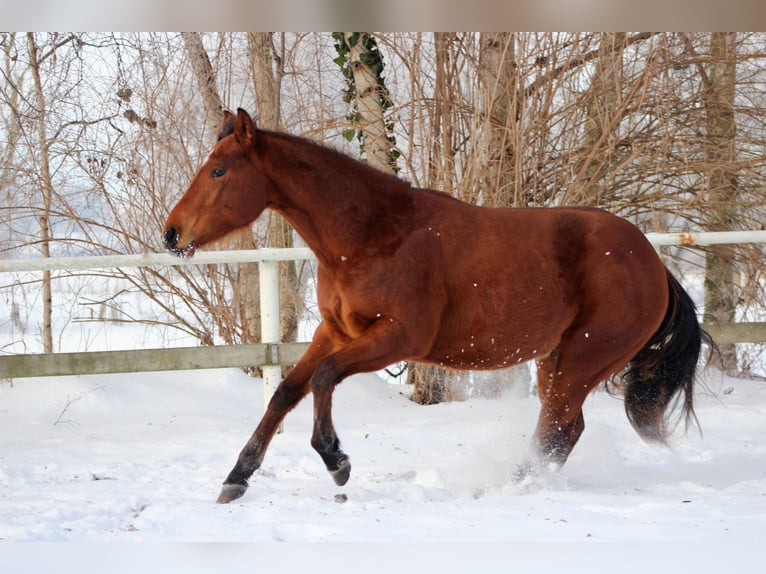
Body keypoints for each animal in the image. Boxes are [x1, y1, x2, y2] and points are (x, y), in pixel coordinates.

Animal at [163, 108, 712, 504]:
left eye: (218, 170)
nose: (172, 234)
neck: (373, 236)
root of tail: (652, 261)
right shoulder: (333, 332)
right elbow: (285, 393)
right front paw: (236, 478)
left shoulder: (398, 337)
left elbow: (323, 379)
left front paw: (336, 461)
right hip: (555, 359)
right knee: (564, 427)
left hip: (585, 357)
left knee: (558, 426)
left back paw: (510, 486)